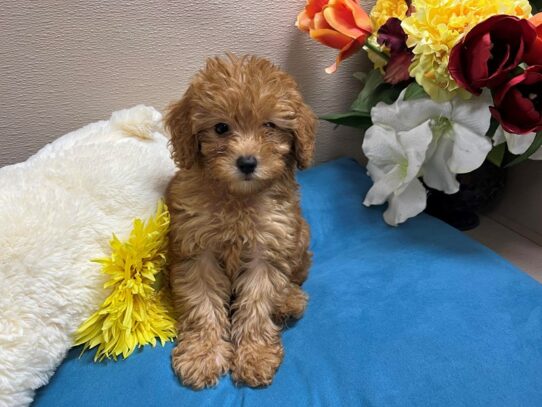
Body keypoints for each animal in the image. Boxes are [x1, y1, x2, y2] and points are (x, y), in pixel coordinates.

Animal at [166, 54, 318, 388]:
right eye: (221, 128)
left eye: (269, 126)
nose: (247, 162)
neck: (237, 197)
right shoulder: (197, 251)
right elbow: (203, 304)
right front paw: (203, 354)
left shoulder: (269, 247)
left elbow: (257, 305)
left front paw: (255, 355)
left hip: (300, 239)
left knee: (293, 277)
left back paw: (288, 301)